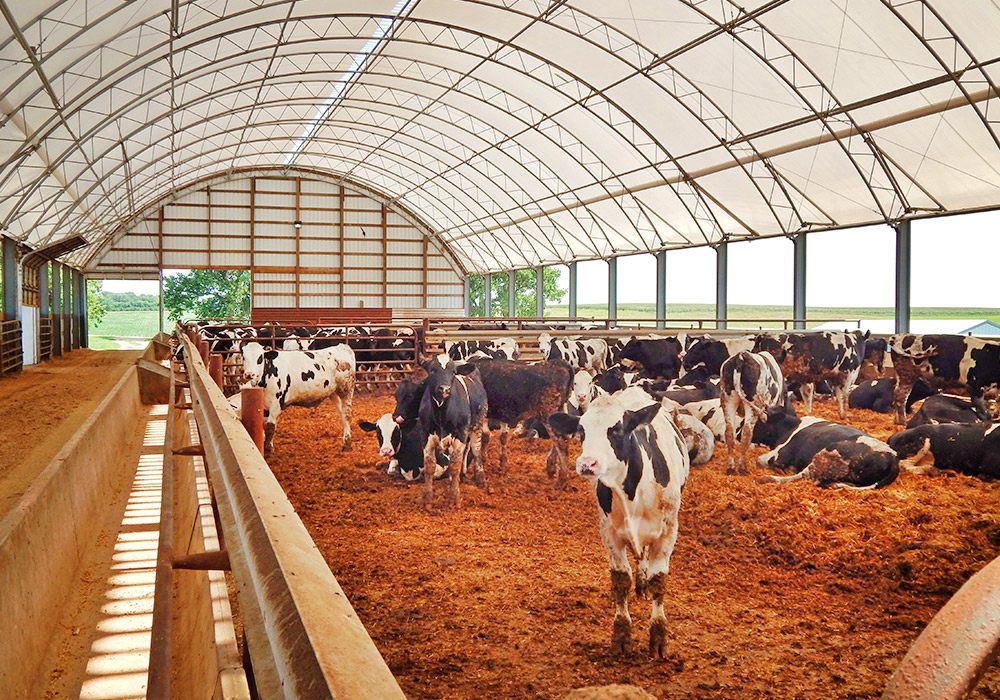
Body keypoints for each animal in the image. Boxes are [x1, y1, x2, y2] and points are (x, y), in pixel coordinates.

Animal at [418, 356, 488, 508]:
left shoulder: (460, 435)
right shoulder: (426, 435)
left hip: (478, 423)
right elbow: (429, 466)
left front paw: (454, 498)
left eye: (453, 372)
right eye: (432, 370)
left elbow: (455, 465)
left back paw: (480, 478)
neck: (441, 414)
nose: (444, 389)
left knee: (475, 450)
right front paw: (427, 499)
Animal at [548, 394, 688, 656]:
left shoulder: (668, 531)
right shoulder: (609, 532)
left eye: (617, 429)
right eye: (581, 430)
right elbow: (621, 580)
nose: (587, 463)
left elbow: (659, 581)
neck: (631, 491)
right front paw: (621, 636)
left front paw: (658, 637)